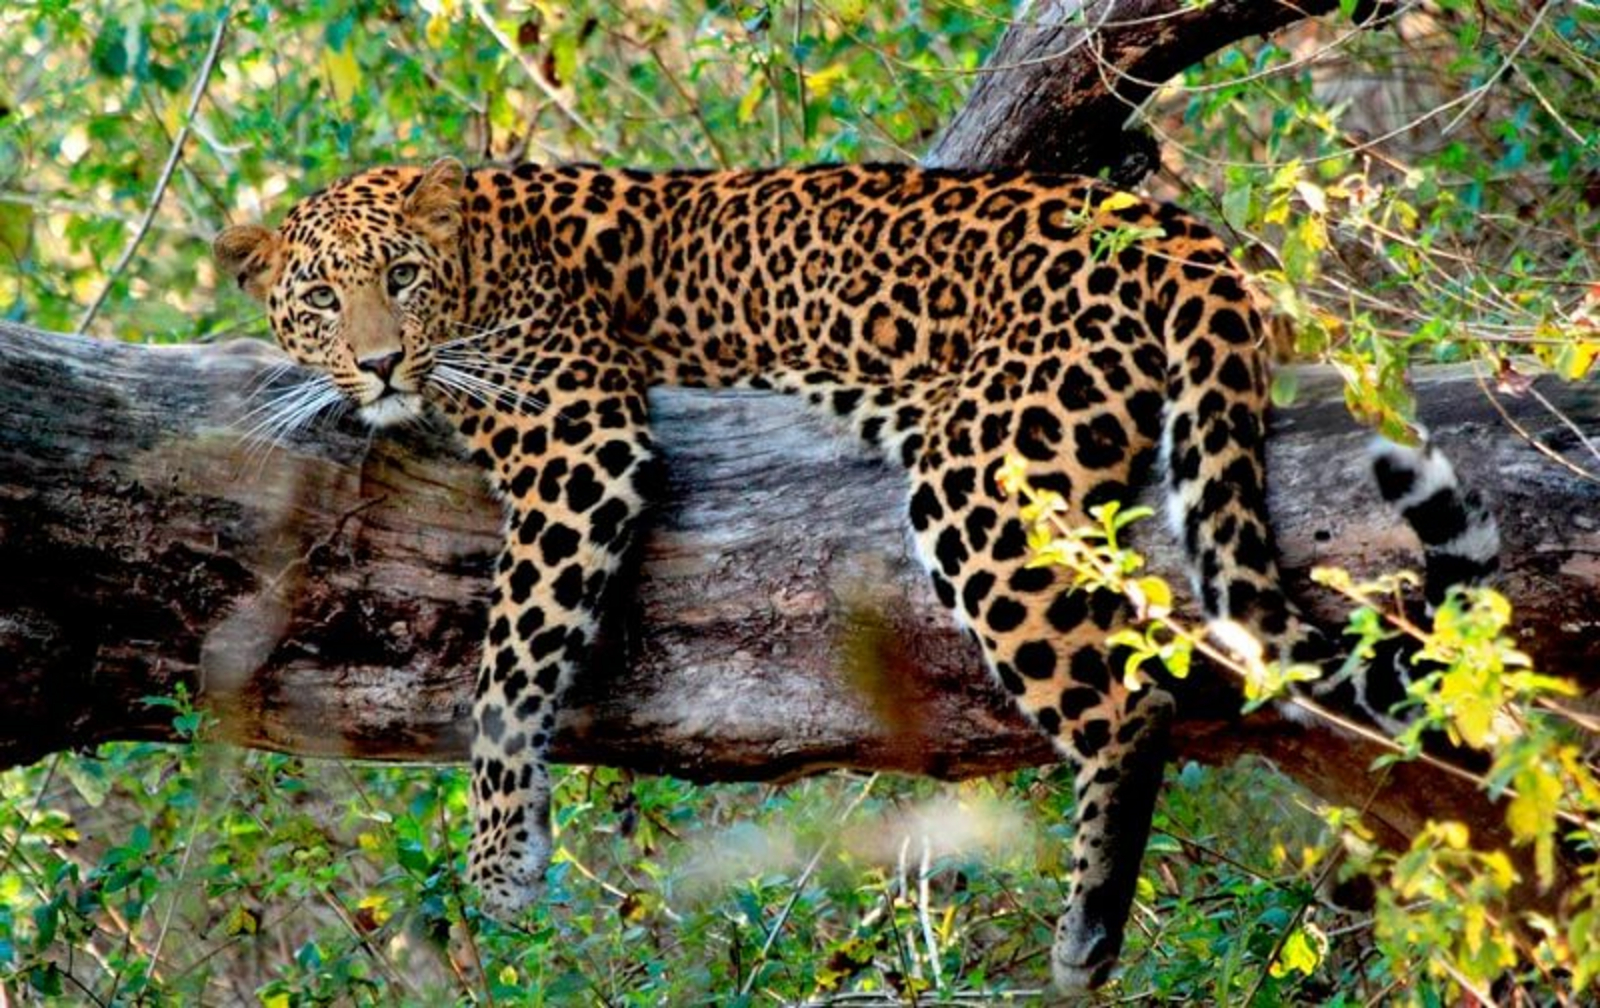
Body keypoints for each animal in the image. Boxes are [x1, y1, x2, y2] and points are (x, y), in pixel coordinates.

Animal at [213, 157, 1497, 991]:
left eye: (401, 276)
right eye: (322, 295)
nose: (382, 361)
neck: (487, 254)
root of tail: (1177, 231)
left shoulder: (578, 437)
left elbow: (509, 664)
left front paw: (497, 866)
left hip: (982, 474)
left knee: (1130, 696)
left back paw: (1087, 930)